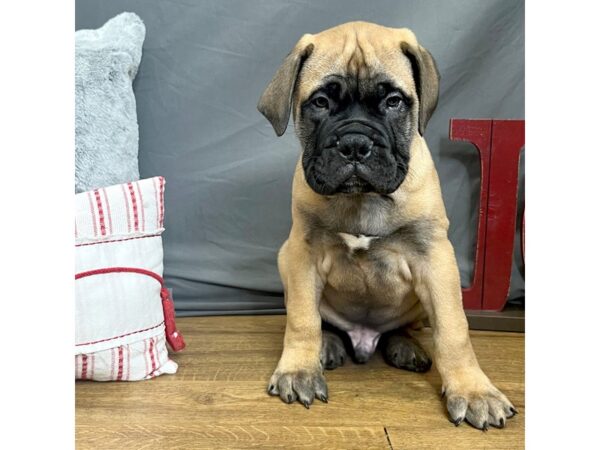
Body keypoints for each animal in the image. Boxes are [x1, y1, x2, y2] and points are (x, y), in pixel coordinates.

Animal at [256, 21, 516, 428]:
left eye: (394, 101)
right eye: (320, 102)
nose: (354, 143)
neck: (364, 198)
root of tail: (365, 338)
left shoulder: (435, 259)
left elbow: (454, 328)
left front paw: (475, 391)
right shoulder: (301, 254)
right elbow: (302, 318)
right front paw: (299, 370)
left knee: (407, 327)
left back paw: (406, 347)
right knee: (324, 320)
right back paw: (329, 344)